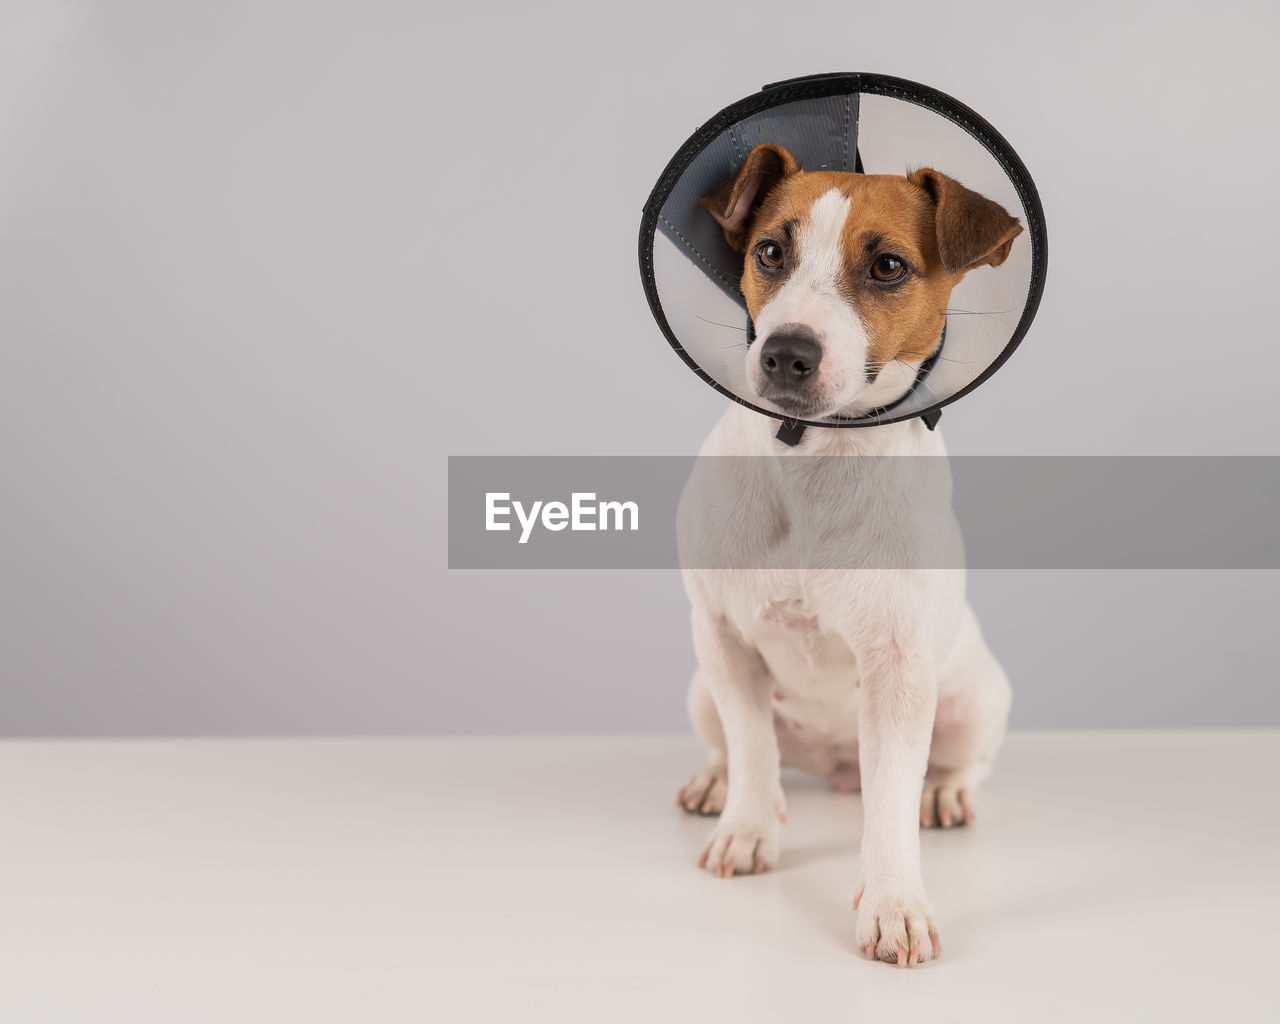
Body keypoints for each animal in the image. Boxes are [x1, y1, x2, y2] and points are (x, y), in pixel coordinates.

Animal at [670, 140, 1018, 962]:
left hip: (976, 698)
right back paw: (716, 782)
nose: (786, 353)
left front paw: (893, 903)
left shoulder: (896, 667)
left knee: (956, 762)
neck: (814, 460)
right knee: (743, 746)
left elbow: (890, 797)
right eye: (770, 251)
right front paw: (747, 828)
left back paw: (944, 791)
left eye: (888, 266)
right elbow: (753, 745)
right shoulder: (722, 638)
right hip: (701, 687)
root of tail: (831, 769)